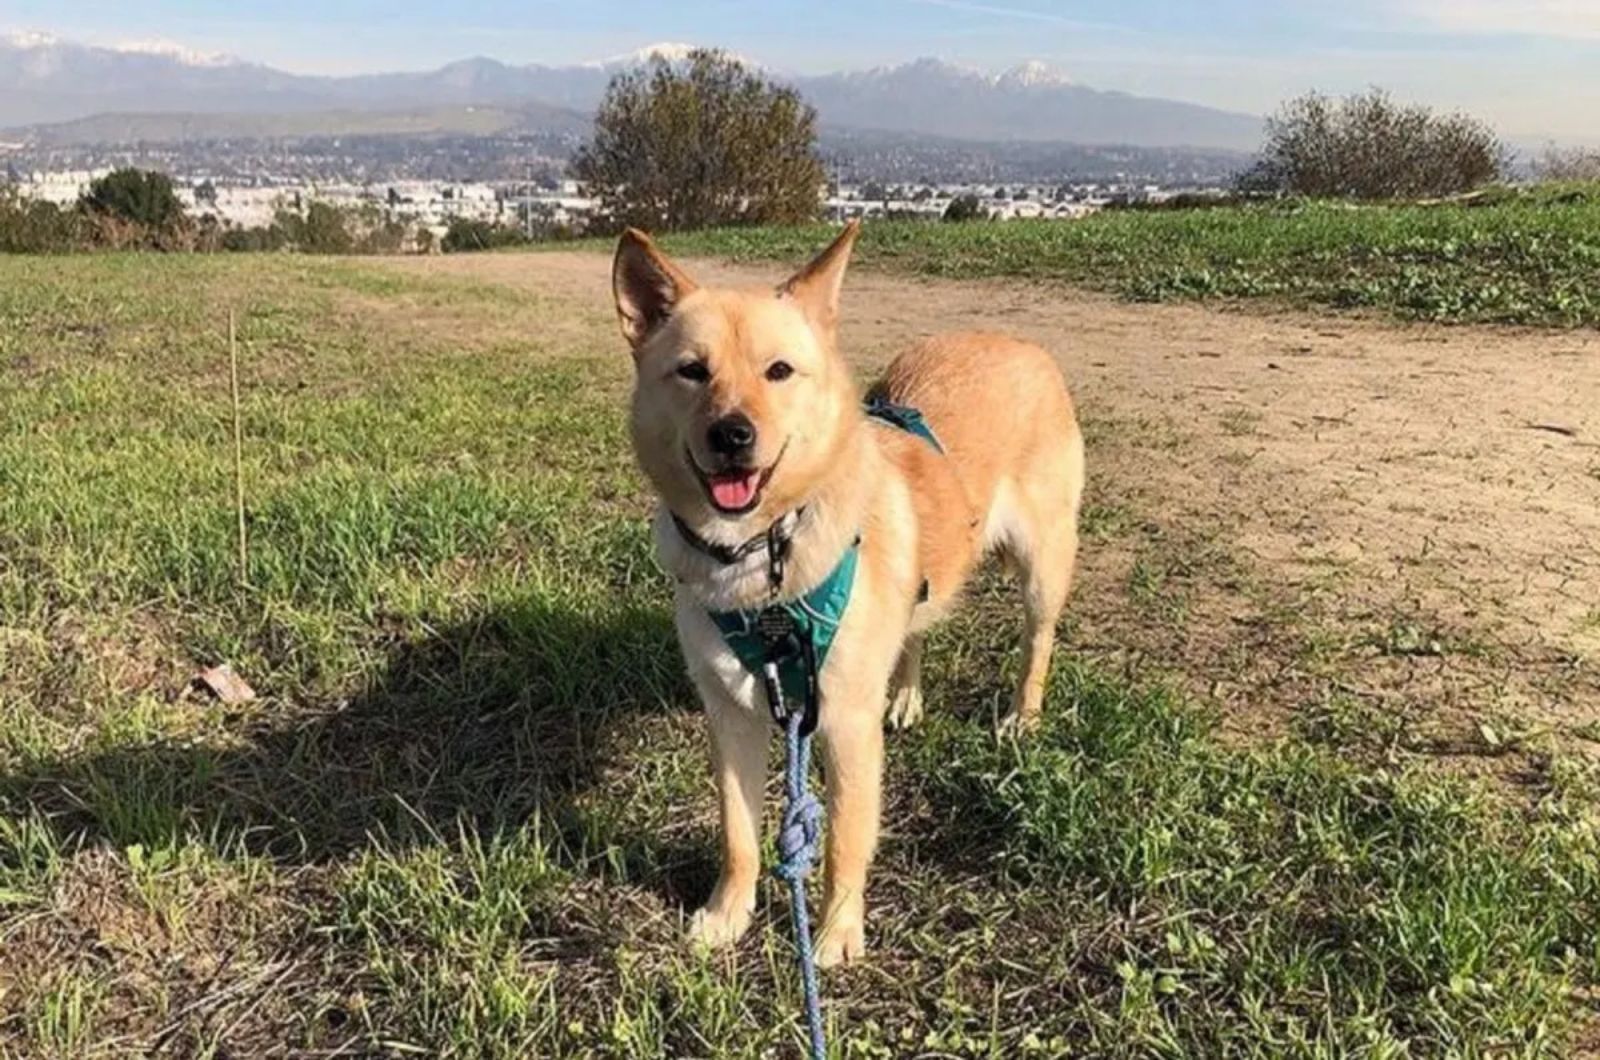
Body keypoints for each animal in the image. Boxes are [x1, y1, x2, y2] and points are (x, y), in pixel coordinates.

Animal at [611, 219, 1088, 967]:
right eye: (692, 371)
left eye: (779, 371)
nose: (732, 435)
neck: (764, 555)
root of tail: (1014, 341)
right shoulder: (731, 718)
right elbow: (738, 834)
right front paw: (727, 914)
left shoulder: (842, 727)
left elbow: (843, 840)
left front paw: (835, 933)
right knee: (917, 626)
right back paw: (907, 697)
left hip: (1041, 565)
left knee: (1036, 642)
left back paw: (1022, 717)